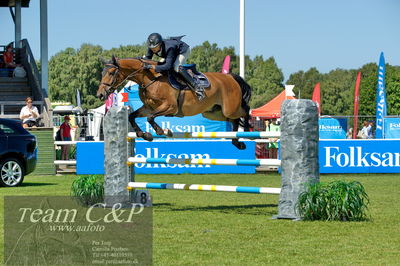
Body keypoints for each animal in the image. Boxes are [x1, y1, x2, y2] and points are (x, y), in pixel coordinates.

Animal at [97, 55, 252, 150]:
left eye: (111, 73)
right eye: (102, 73)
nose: (100, 94)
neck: (150, 79)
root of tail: (231, 77)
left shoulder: (170, 106)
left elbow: (150, 118)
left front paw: (163, 131)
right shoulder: (148, 107)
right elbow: (132, 116)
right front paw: (144, 135)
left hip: (230, 108)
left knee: (245, 110)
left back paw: (247, 129)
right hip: (214, 113)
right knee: (234, 120)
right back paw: (237, 142)